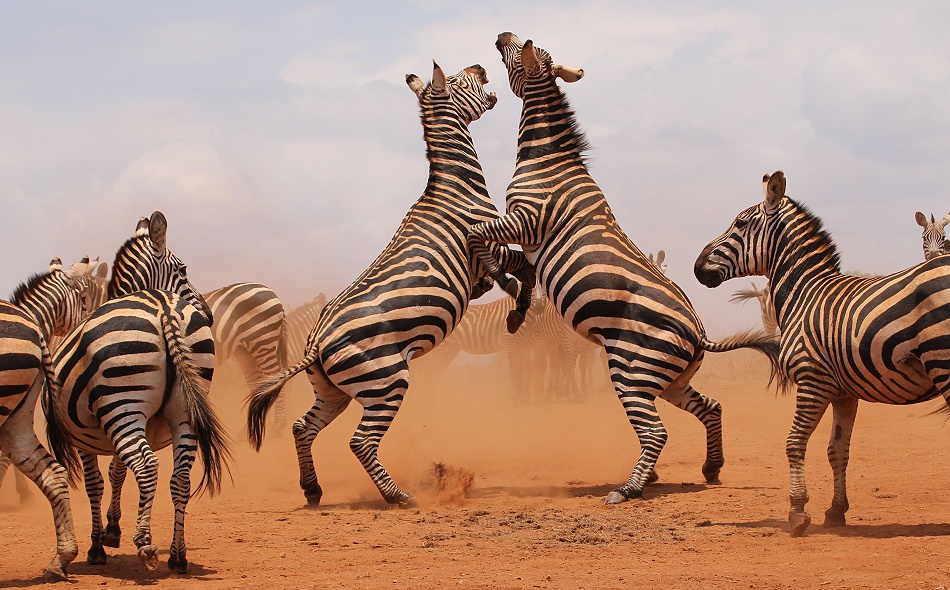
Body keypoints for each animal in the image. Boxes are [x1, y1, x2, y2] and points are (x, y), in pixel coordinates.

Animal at [45, 211, 231, 573]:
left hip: (123, 406)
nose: (209, 314)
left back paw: (145, 543)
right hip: (182, 413)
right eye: (183, 270)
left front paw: (98, 546)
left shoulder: (85, 437)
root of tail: (163, 307)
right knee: (180, 478)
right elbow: (116, 472)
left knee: (146, 466)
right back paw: (177, 555)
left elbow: (95, 483)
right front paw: (112, 529)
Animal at [246, 62, 532, 506]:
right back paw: (398, 495)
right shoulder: (489, 242)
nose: (482, 68)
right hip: (386, 380)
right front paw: (520, 302)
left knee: (302, 427)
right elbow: (520, 265)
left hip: (333, 392)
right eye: (459, 80)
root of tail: (315, 344)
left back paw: (313, 489)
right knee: (360, 441)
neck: (457, 186)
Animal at [466, 33, 779, 504]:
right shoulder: (525, 233)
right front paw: (518, 306)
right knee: (710, 407)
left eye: (517, 52)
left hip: (633, 369)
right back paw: (710, 468)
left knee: (656, 432)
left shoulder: (525, 219)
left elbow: (476, 236)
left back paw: (629, 488)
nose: (500, 35)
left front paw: (501, 285)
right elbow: (516, 267)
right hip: (670, 379)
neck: (549, 161)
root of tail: (699, 332)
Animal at [694, 169, 950, 536]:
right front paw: (836, 510)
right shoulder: (844, 392)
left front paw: (798, 511)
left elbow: (794, 442)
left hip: (943, 362)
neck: (804, 293)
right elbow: (837, 449)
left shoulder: (812, 380)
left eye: (740, 224)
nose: (698, 267)